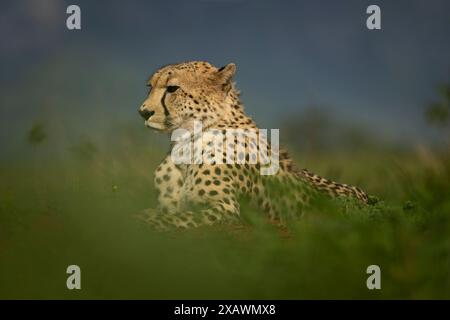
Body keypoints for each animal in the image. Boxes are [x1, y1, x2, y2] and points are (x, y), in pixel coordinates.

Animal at [137, 60, 370, 230]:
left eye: (172, 88)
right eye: (150, 87)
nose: (143, 112)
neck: (186, 141)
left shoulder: (227, 208)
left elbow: (170, 219)